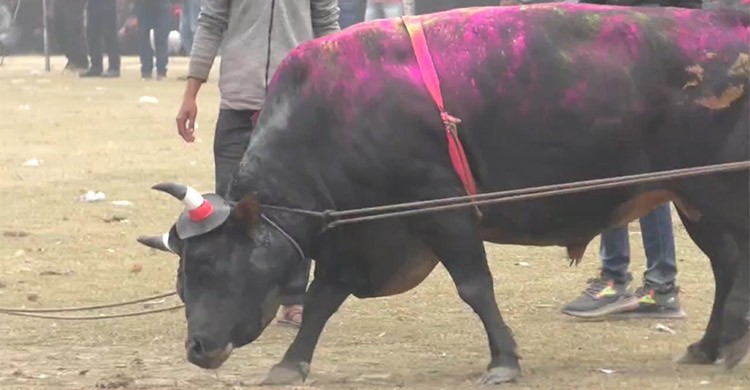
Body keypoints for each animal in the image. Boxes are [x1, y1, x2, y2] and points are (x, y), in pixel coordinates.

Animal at [138, 3, 748, 386]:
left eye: (210, 265)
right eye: (183, 273)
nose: (197, 348)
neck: (332, 116)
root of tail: (728, 24)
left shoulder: (442, 207)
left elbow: (475, 287)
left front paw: (503, 360)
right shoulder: (356, 233)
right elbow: (322, 298)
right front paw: (291, 364)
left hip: (717, 190)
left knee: (735, 265)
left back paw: (731, 347)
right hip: (695, 201)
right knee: (725, 265)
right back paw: (710, 346)